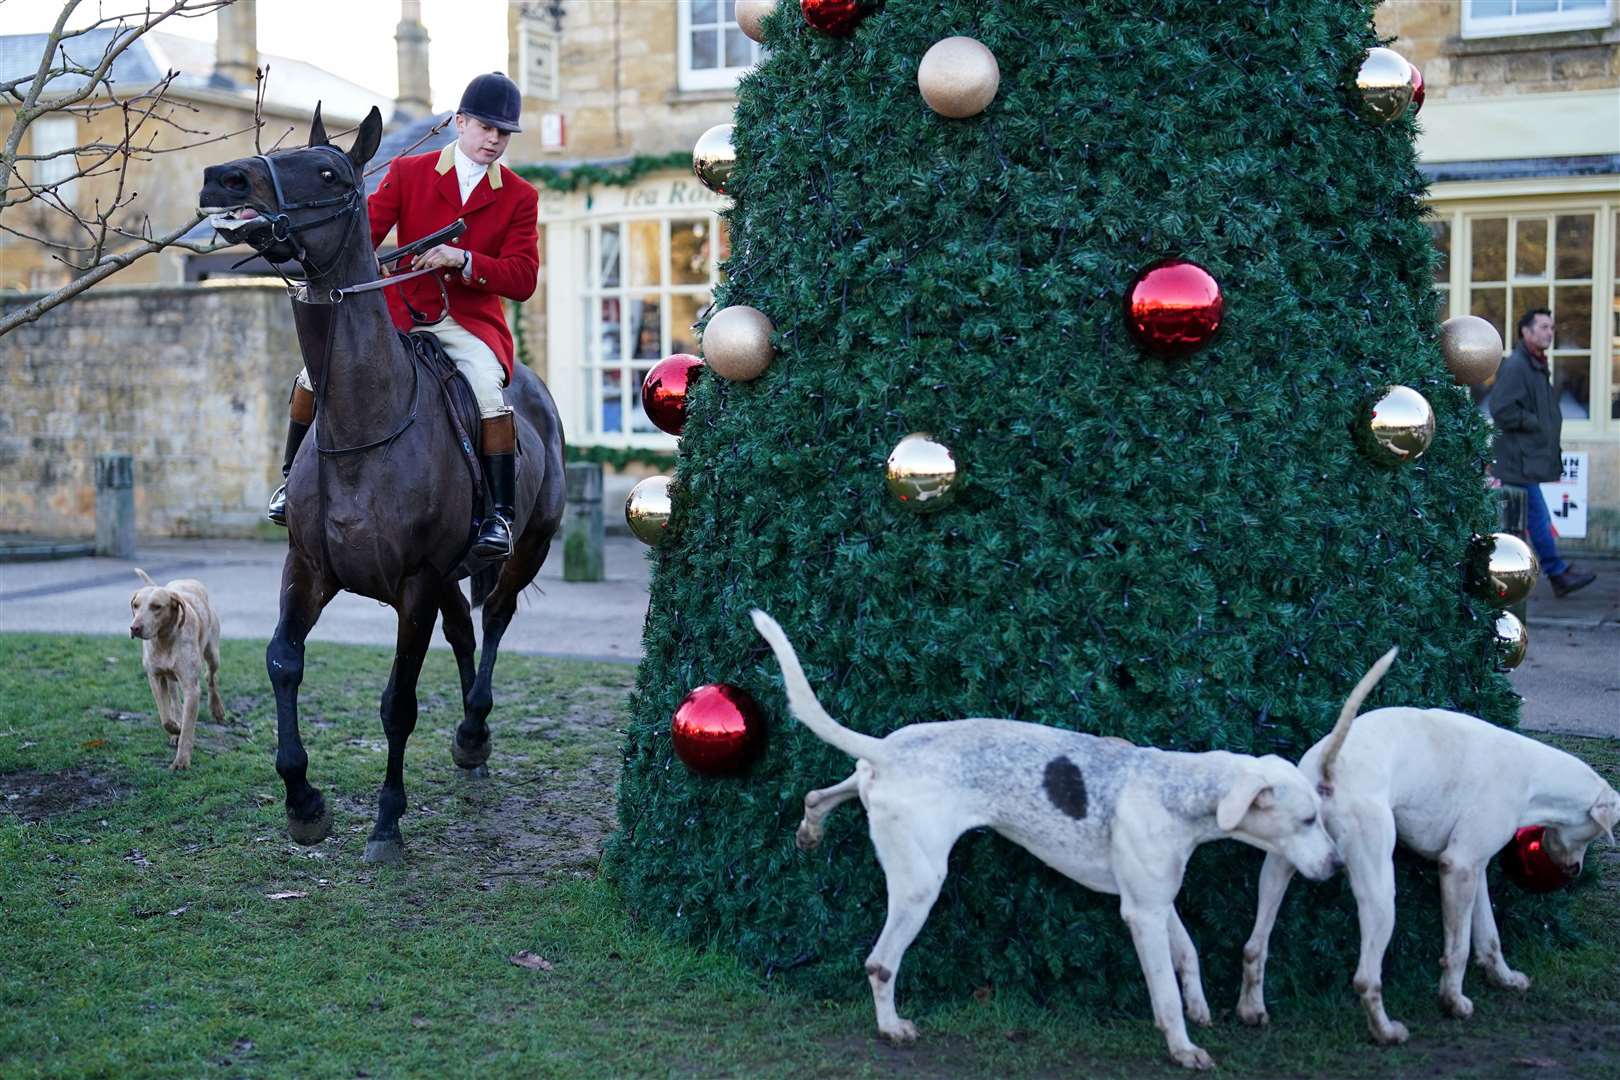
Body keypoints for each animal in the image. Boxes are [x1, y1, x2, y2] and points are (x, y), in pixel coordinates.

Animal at [129, 569, 226, 773]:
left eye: (156, 607)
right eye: (136, 605)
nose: (135, 628)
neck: (164, 640)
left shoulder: (191, 688)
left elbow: (188, 727)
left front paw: (182, 760)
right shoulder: (155, 678)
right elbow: (165, 717)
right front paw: (175, 729)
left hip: (213, 654)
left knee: (211, 677)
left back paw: (217, 708)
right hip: (170, 678)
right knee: (174, 700)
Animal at [199, 110, 567, 867]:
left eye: (332, 172)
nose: (222, 178)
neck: (364, 421)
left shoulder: (416, 583)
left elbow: (398, 703)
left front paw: (386, 823)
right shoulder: (308, 568)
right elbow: (282, 662)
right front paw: (303, 803)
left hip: (526, 549)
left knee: (495, 620)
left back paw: (475, 730)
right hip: (451, 572)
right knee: (464, 632)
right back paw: (470, 748)